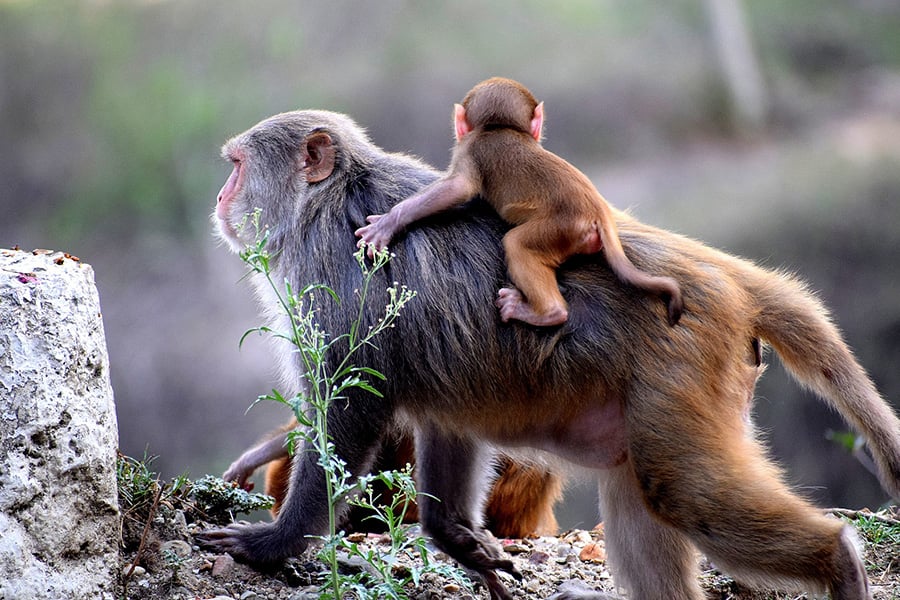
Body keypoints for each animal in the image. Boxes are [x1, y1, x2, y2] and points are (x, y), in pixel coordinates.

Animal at [355, 77, 682, 328]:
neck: (499, 128)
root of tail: (597, 212)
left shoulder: (470, 149)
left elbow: (458, 188)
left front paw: (389, 222)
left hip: (560, 229)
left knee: (517, 244)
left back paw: (547, 313)